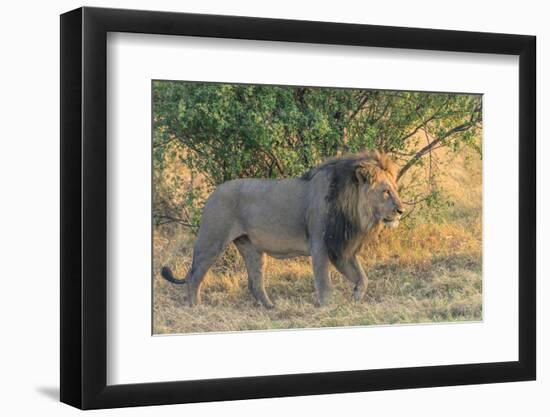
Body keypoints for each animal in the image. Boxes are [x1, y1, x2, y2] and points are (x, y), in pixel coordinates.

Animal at [162, 151, 408, 308]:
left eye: (395, 189)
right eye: (386, 191)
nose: (401, 210)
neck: (354, 210)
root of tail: (212, 193)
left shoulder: (340, 247)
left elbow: (363, 277)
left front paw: (356, 297)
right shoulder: (321, 244)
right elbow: (324, 281)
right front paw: (328, 307)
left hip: (252, 249)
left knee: (255, 283)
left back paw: (272, 308)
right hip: (212, 241)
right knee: (194, 277)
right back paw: (196, 308)